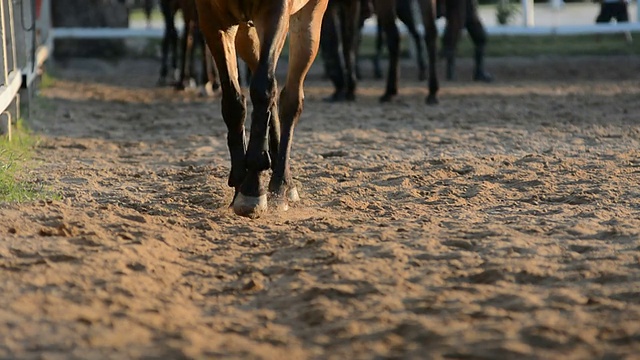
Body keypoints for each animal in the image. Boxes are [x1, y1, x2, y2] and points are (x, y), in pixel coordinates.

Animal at [195, 0, 330, 217]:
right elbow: (233, 101)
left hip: (310, 18)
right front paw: (240, 184)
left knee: (290, 100)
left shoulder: (275, 13)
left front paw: (252, 188)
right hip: (246, 32)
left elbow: (262, 88)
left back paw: (281, 185)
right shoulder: (212, 19)